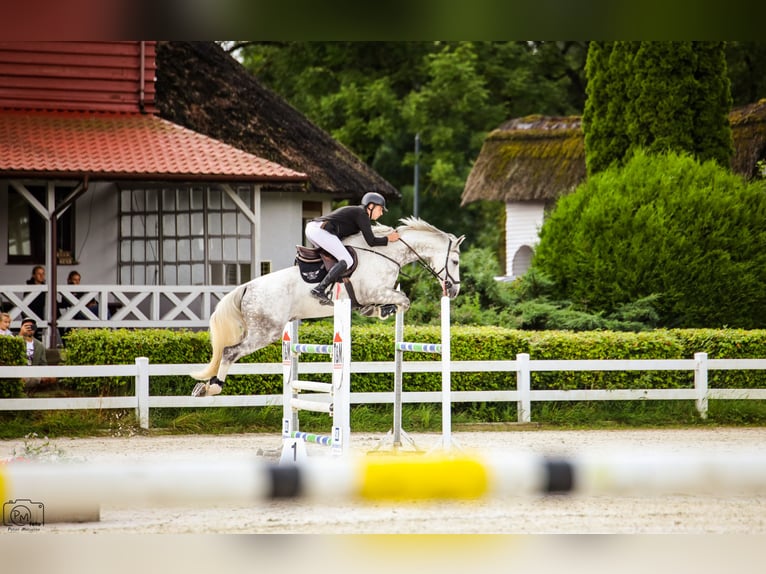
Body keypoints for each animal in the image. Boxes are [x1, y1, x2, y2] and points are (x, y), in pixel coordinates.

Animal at [195, 218, 464, 398]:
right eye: (455, 261)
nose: (453, 291)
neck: (386, 254)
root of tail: (247, 287)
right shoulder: (374, 291)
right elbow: (404, 299)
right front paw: (384, 310)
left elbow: (396, 300)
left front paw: (377, 311)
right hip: (265, 332)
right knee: (230, 352)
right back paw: (213, 387)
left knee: (226, 352)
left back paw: (204, 386)